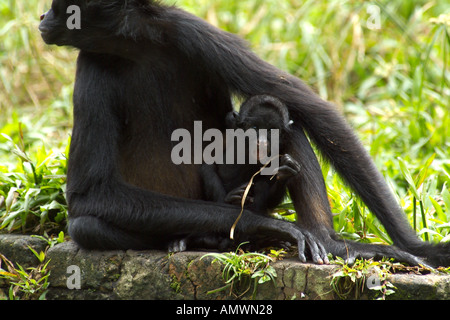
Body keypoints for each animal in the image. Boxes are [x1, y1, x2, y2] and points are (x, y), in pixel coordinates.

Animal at [39, 0, 450, 268]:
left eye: (58, 7)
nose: (43, 16)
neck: (136, 46)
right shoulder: (91, 63)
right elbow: (91, 195)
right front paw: (269, 225)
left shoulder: (191, 32)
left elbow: (315, 113)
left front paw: (418, 247)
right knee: (87, 225)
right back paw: (199, 236)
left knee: (292, 128)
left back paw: (330, 244)